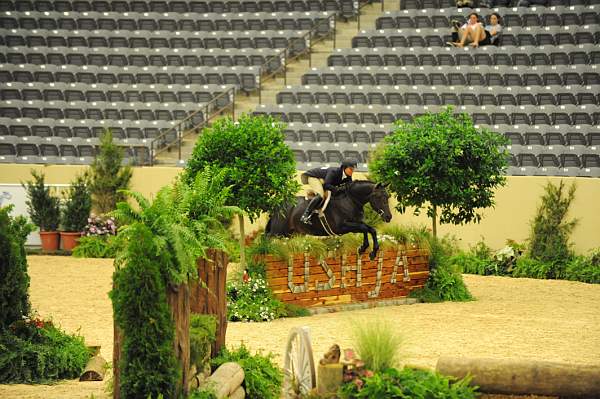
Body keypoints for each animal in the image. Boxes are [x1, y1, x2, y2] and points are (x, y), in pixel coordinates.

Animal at [264, 180, 392, 260]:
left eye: (388, 196)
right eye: (379, 197)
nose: (389, 217)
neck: (351, 200)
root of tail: (278, 205)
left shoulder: (355, 224)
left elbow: (369, 229)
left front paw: (366, 250)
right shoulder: (343, 227)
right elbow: (366, 228)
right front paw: (369, 250)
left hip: (291, 234)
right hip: (278, 232)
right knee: (267, 238)